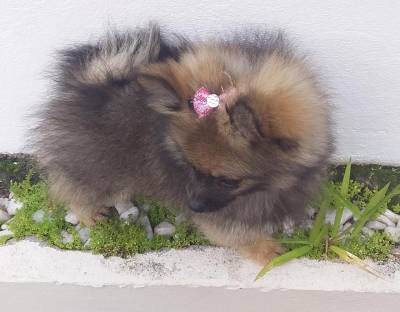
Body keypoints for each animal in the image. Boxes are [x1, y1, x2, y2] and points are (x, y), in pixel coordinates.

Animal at [34, 23, 332, 264]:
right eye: (189, 167)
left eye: (228, 181)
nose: (193, 206)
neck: (268, 186)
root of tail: (86, 83)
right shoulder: (219, 215)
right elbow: (236, 233)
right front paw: (268, 251)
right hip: (94, 167)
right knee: (71, 186)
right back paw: (88, 214)